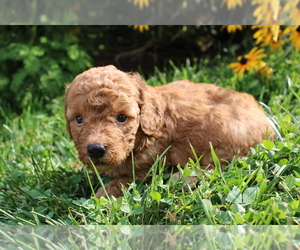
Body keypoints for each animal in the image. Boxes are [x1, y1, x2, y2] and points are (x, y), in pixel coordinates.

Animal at [64, 65, 276, 197]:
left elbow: (126, 179)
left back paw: (179, 179)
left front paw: (103, 193)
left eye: (122, 117)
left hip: (222, 126)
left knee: (213, 166)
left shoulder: (152, 165)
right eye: (79, 119)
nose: (96, 149)